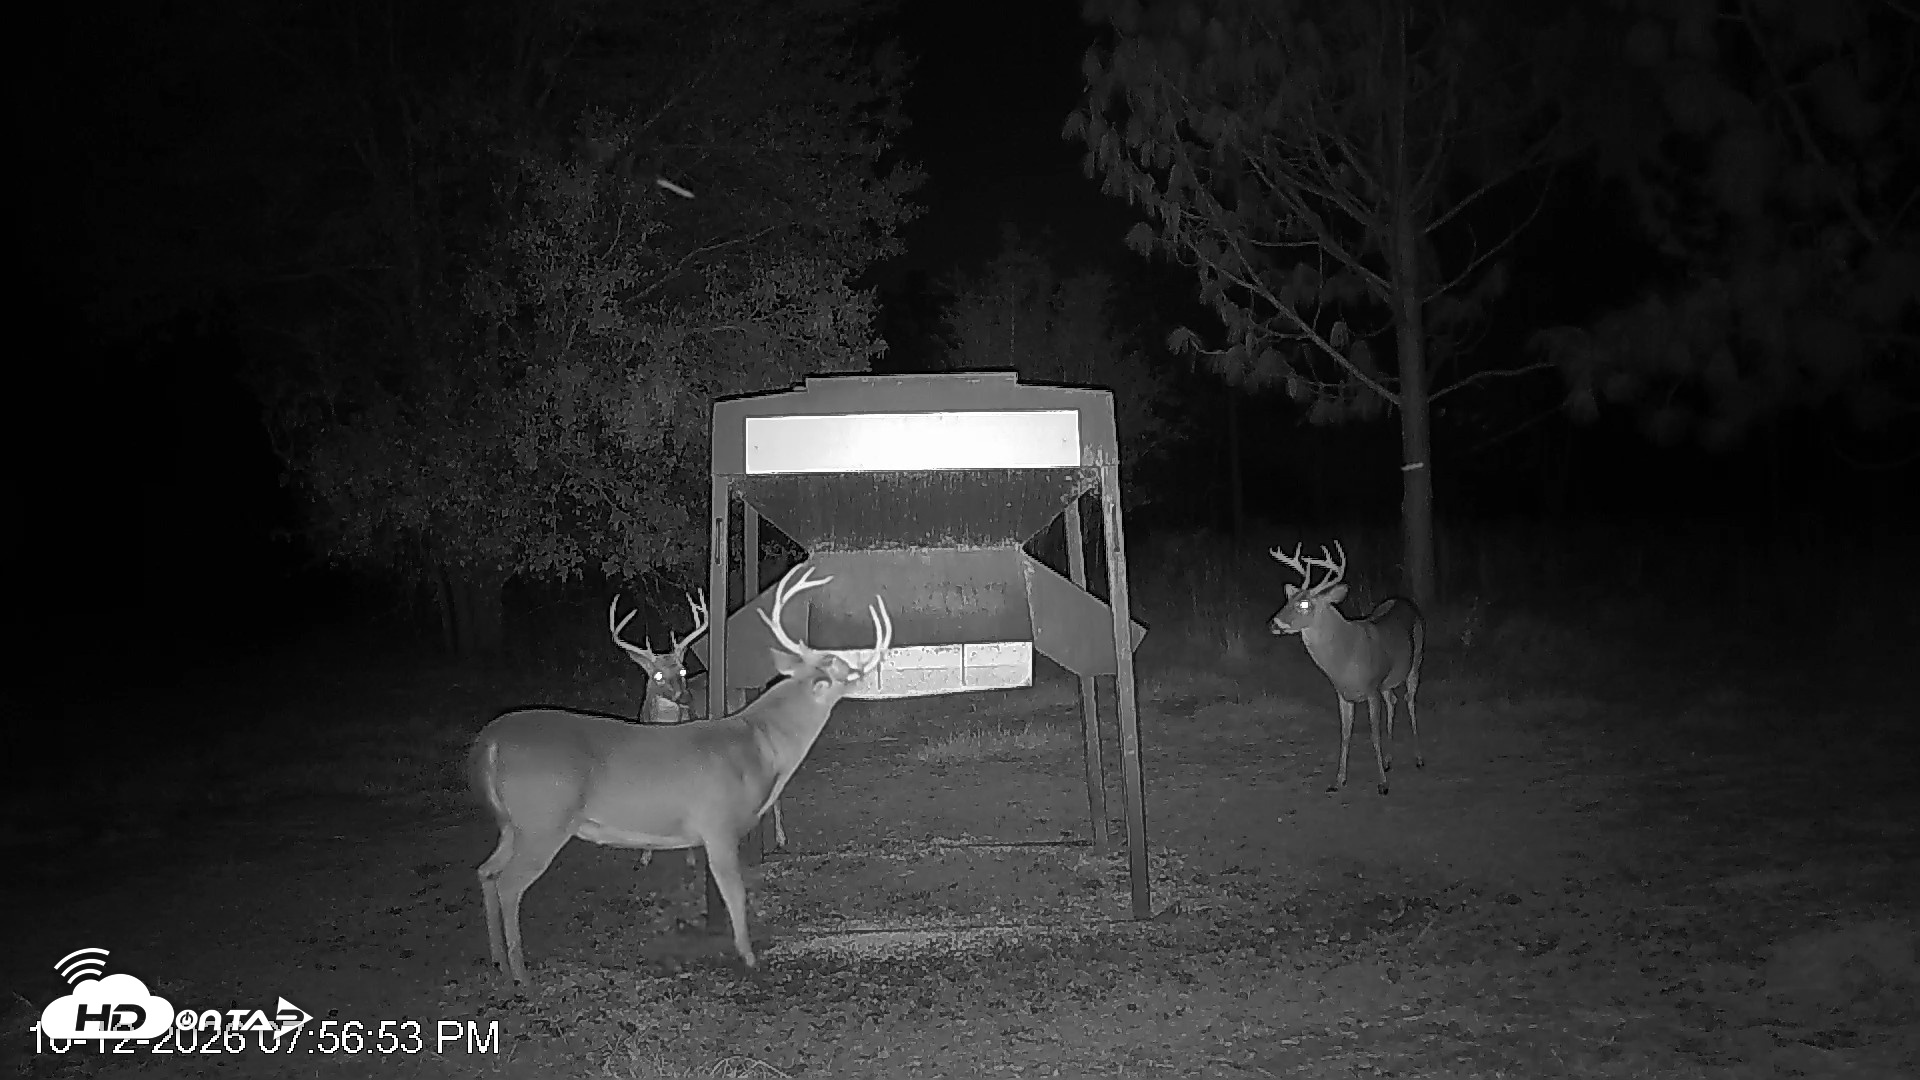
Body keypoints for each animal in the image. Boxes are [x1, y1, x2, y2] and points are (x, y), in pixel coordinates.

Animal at [469, 564, 892, 981]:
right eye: (842, 668)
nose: (867, 672)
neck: (759, 745)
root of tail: (489, 742)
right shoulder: (717, 824)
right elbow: (735, 893)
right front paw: (749, 957)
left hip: (514, 825)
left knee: (486, 872)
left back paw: (497, 961)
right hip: (544, 820)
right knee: (508, 885)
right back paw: (520, 976)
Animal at [1269, 540, 1425, 796]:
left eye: (1304, 603)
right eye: (1288, 600)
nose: (1273, 624)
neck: (1345, 659)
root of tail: (1405, 601)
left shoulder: (1371, 688)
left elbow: (1374, 735)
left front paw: (1382, 784)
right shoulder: (1343, 694)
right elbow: (1345, 735)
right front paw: (1338, 780)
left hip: (1416, 660)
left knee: (1409, 701)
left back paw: (1418, 758)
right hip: (1387, 681)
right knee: (1393, 701)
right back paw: (1389, 760)